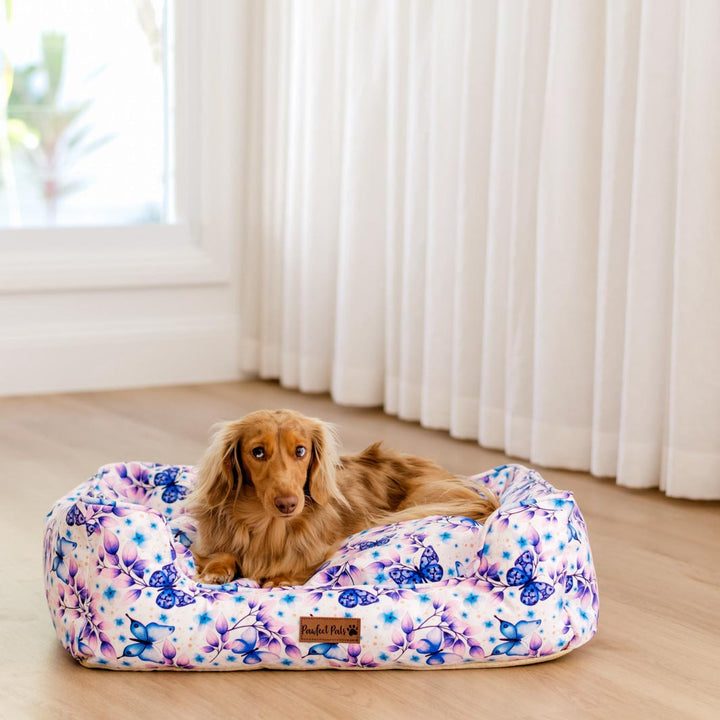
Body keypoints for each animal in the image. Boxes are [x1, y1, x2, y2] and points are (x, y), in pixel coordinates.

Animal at [188, 408, 498, 588]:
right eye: (258, 452)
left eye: (300, 450)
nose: (288, 504)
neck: (269, 527)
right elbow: (220, 552)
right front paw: (217, 569)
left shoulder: (319, 549)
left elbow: (302, 563)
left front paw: (280, 580)